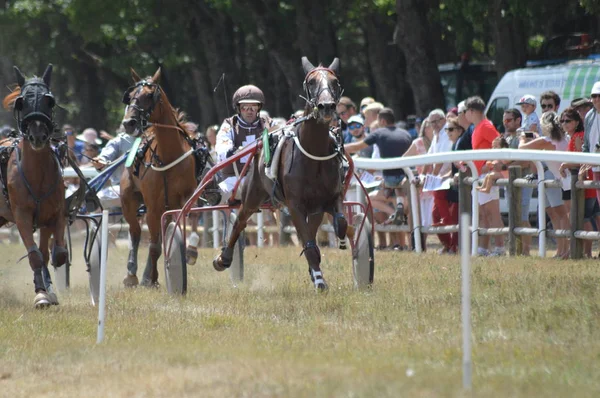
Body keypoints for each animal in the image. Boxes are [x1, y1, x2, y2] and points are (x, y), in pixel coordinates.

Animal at [0, 64, 67, 308]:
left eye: (49, 101)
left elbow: (54, 254)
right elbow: (35, 255)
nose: (38, 135)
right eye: (22, 102)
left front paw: (49, 290)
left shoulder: (54, 214)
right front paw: (40, 294)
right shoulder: (22, 216)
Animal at [119, 67, 197, 286]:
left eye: (148, 95)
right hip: (128, 200)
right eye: (130, 97)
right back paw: (133, 274)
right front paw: (152, 278)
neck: (170, 155)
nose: (128, 123)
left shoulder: (184, 200)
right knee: (136, 232)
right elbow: (153, 246)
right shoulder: (153, 206)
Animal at [214, 56, 346, 290]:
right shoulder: (295, 204)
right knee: (240, 220)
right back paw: (224, 258)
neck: (314, 154)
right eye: (311, 82)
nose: (327, 107)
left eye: (335, 81)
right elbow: (309, 243)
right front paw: (319, 280)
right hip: (252, 194)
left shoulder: (328, 199)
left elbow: (339, 223)